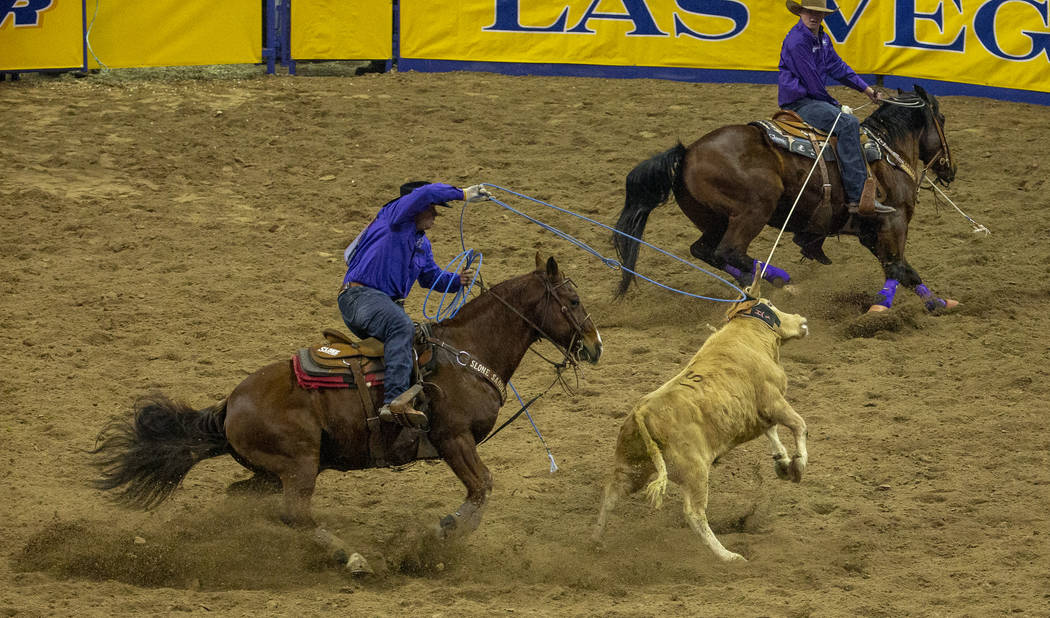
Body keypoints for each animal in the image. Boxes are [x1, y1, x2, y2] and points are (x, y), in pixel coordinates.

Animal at [94, 252, 604, 566]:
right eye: (573, 299)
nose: (596, 346)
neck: (466, 352)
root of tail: (229, 405)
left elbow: (481, 489)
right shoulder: (452, 438)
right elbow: (482, 488)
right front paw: (439, 534)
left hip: (272, 471)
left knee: (245, 499)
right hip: (299, 463)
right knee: (296, 513)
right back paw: (353, 558)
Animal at [613, 84, 961, 310]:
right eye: (942, 120)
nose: (950, 169)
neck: (886, 151)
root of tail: (686, 154)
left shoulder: (870, 231)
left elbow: (897, 269)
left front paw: (930, 302)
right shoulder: (894, 219)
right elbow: (900, 267)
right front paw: (918, 306)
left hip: (713, 220)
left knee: (705, 250)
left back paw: (755, 284)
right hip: (754, 209)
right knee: (729, 251)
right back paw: (781, 281)